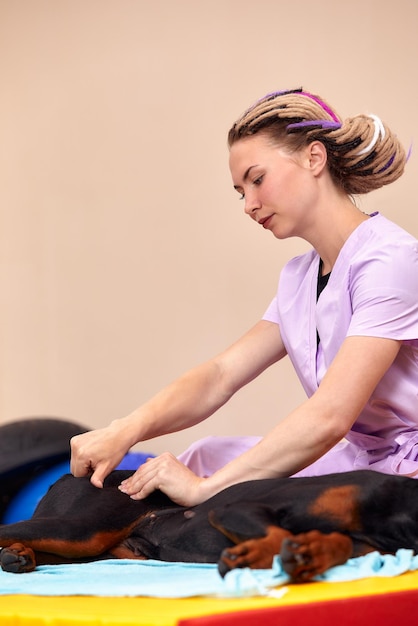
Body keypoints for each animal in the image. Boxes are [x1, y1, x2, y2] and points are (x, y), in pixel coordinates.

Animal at [0, 468, 418, 580]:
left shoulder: (361, 543)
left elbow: (339, 544)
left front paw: (309, 556)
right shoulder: (237, 508)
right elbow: (278, 532)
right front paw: (250, 557)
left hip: (96, 551)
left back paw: (18, 557)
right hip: (82, 528)